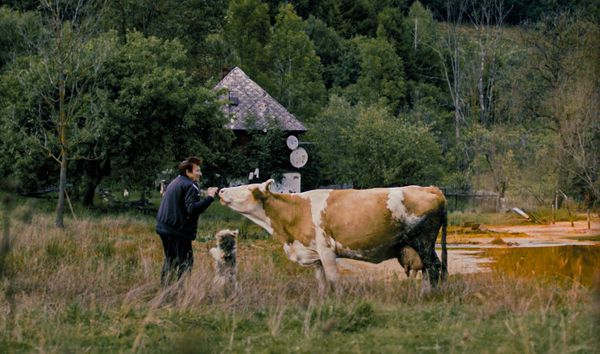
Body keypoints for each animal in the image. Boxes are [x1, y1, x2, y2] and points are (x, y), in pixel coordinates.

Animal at [218, 180, 448, 290]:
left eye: (247, 189)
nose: (220, 191)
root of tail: (431, 188)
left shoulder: (327, 250)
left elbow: (334, 279)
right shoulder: (316, 256)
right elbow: (321, 282)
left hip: (423, 242)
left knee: (435, 268)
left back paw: (429, 295)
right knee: (430, 270)